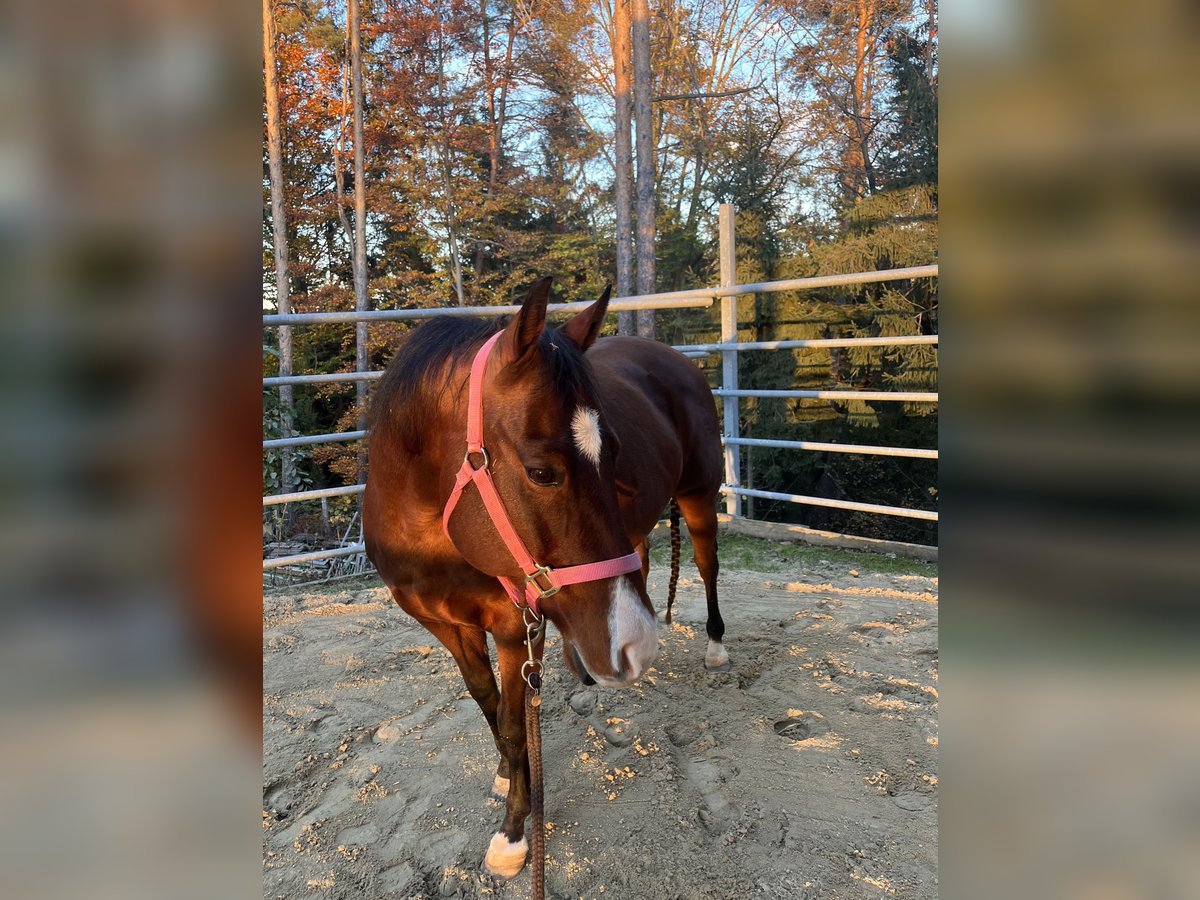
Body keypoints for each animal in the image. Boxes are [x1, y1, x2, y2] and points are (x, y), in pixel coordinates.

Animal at [360, 277, 724, 883]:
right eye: (541, 472)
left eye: (614, 453)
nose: (636, 646)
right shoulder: (448, 626)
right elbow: (488, 707)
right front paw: (512, 776)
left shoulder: (515, 626)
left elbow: (513, 721)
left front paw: (513, 833)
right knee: (643, 559)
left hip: (700, 494)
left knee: (707, 562)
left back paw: (714, 646)